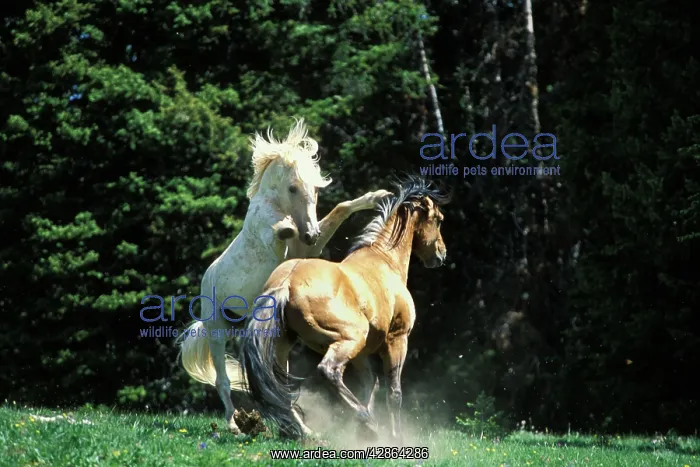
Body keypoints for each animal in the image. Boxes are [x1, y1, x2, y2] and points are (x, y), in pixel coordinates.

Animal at [176, 119, 391, 434]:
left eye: (316, 190)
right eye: (292, 188)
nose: (310, 232)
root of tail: (208, 277)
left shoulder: (308, 248)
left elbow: (338, 211)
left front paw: (377, 196)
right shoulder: (273, 238)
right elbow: (278, 230)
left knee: (277, 383)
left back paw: (300, 429)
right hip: (216, 330)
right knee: (222, 381)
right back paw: (234, 424)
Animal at [240, 176, 449, 440]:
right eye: (439, 219)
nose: (441, 254)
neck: (384, 260)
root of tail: (286, 283)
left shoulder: (362, 354)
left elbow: (371, 384)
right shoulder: (397, 339)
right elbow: (394, 393)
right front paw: (394, 436)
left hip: (286, 346)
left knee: (282, 388)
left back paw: (304, 431)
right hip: (350, 338)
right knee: (328, 371)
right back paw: (365, 421)